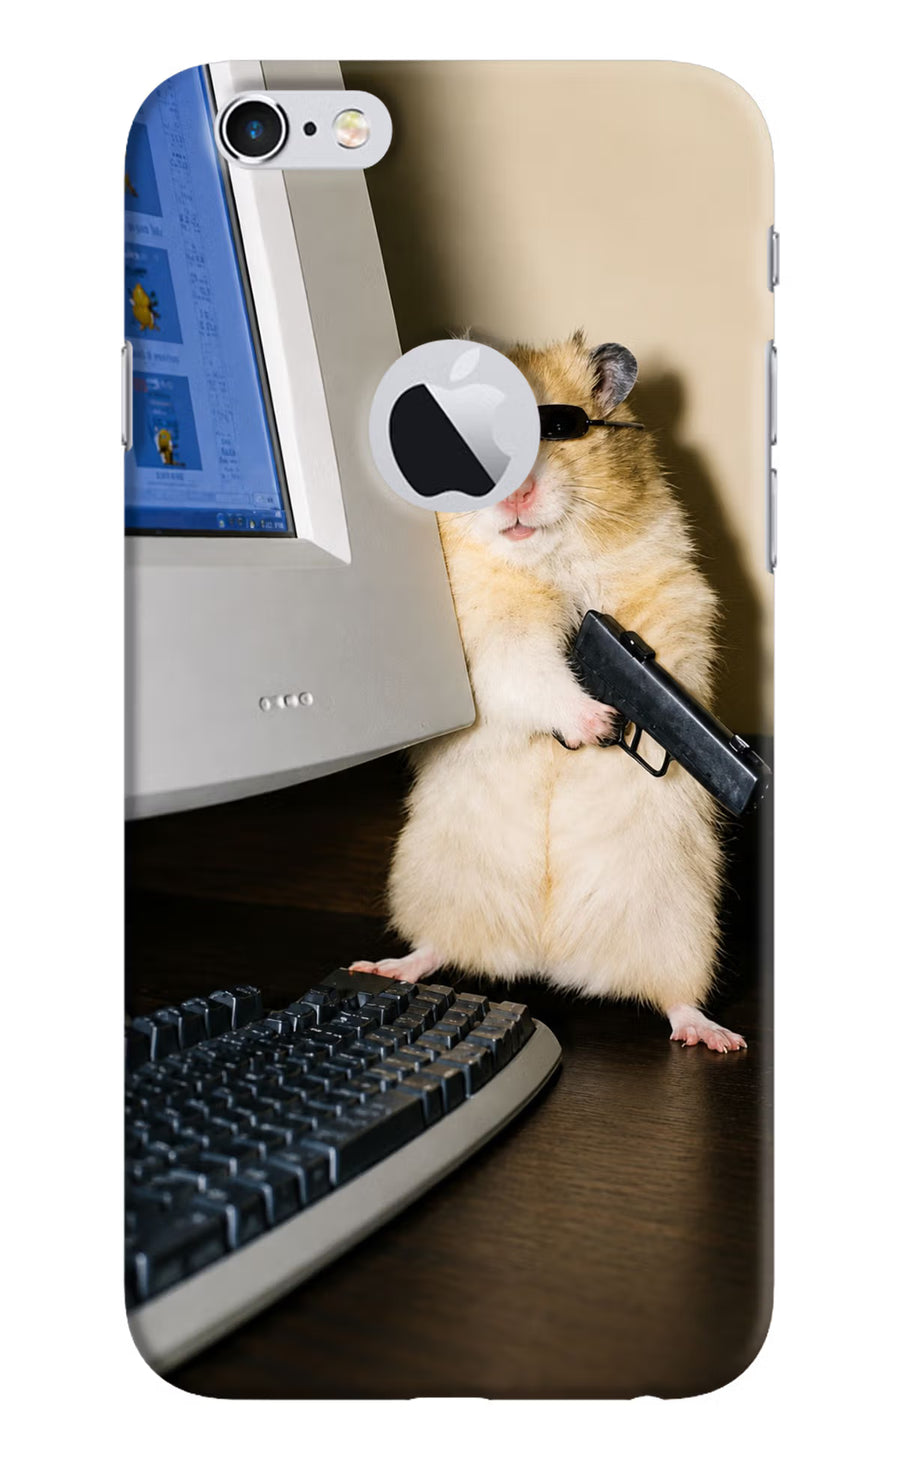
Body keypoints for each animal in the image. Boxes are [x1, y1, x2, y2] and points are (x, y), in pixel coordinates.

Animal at [351, 333, 745, 1052]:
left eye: (560, 430)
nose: (518, 496)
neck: (545, 559)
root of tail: (548, 958)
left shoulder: (672, 596)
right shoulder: (488, 642)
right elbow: (532, 673)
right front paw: (599, 722)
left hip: (681, 923)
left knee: (675, 997)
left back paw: (717, 1037)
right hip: (433, 883)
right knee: (435, 947)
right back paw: (384, 966)